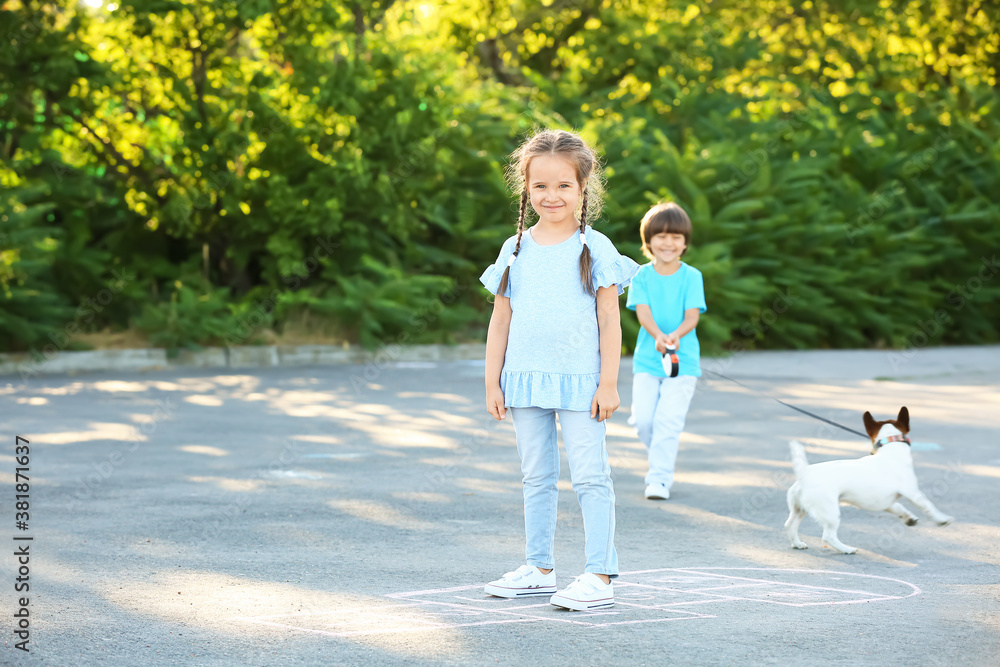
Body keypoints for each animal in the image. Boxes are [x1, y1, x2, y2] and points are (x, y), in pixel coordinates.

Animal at [780, 408, 952, 552]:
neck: (890, 451)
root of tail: (804, 474)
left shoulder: (888, 503)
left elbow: (899, 508)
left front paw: (909, 518)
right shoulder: (913, 493)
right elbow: (928, 506)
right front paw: (942, 519)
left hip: (799, 509)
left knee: (790, 525)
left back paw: (797, 544)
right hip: (830, 512)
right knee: (827, 536)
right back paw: (847, 549)